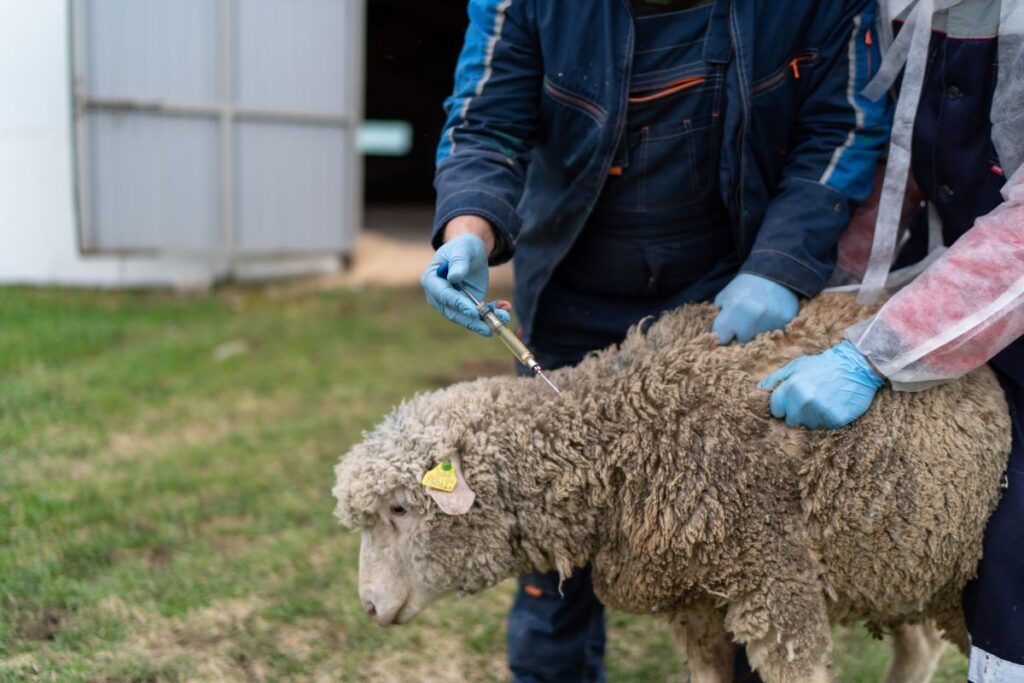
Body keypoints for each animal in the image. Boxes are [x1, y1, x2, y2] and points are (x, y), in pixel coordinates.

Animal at [333, 294, 1007, 683]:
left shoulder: (777, 586)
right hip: (901, 560)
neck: (622, 432)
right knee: (917, 649)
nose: (367, 607)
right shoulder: (694, 599)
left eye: (400, 508)